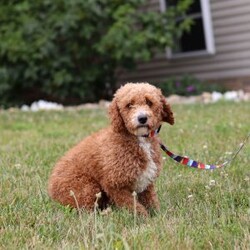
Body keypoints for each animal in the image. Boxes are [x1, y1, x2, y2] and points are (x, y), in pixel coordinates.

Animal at [47, 83, 174, 216]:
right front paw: (143, 216)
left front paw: (158, 215)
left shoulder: (147, 182)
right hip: (86, 188)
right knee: (85, 211)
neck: (139, 139)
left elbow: (151, 200)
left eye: (149, 102)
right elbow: (131, 204)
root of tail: (51, 189)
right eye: (129, 105)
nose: (142, 118)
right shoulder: (114, 184)